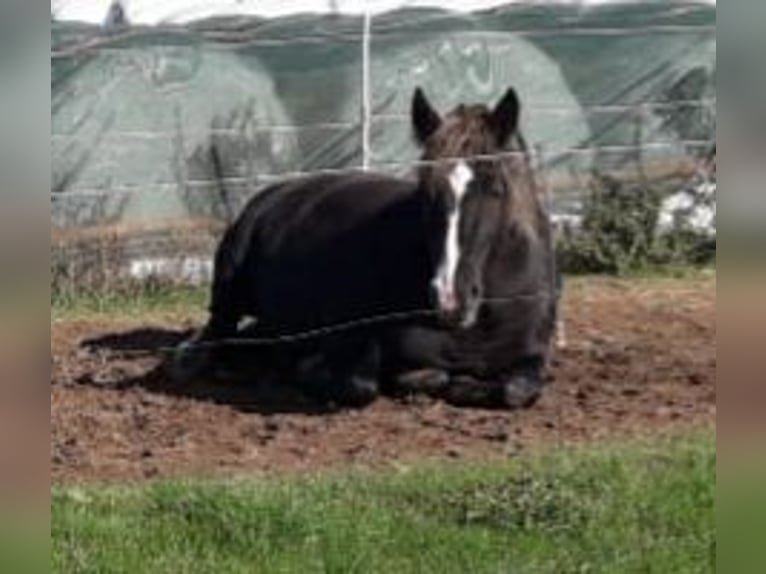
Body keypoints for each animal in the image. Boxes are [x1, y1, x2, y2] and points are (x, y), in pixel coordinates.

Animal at [171, 88, 560, 410]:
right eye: (425, 190)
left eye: (496, 188)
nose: (451, 298)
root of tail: (274, 193)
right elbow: (367, 383)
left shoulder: (531, 358)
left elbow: (516, 391)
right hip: (230, 287)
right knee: (217, 331)